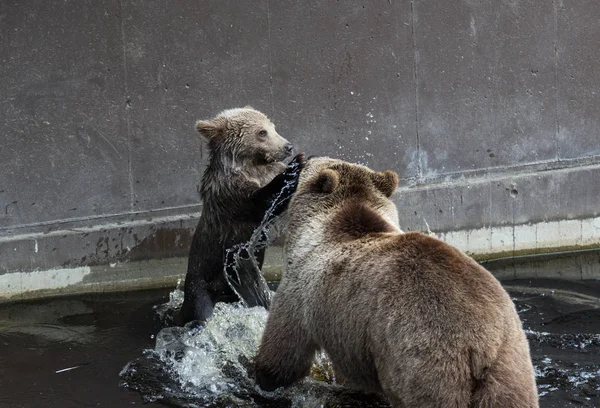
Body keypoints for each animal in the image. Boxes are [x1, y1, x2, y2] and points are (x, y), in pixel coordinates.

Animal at [253, 158, 540, 406]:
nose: (303, 159)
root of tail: (481, 344)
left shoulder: (303, 291)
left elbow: (285, 348)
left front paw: (263, 377)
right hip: (509, 365)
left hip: (424, 358)